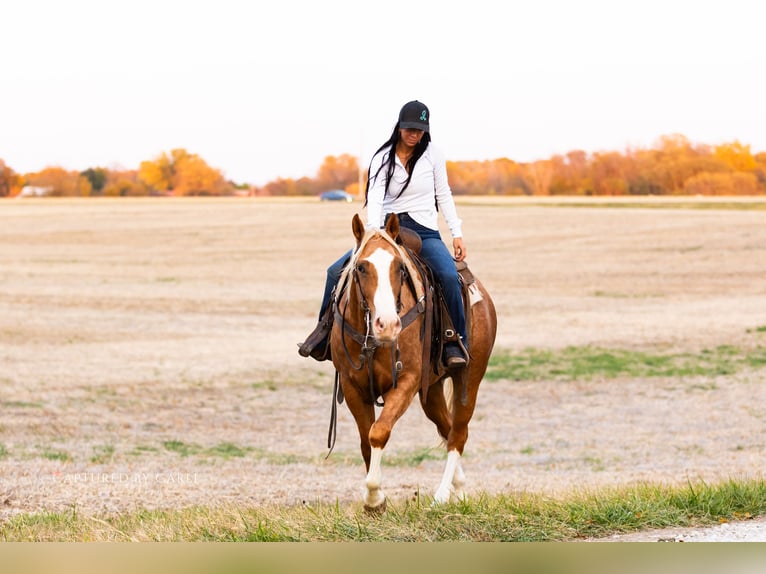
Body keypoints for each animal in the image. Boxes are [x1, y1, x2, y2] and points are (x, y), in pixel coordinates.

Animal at [329, 213, 497, 512]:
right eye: (361, 267)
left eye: (400, 268)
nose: (387, 325)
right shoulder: (352, 387)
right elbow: (365, 440)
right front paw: (376, 500)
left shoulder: (406, 381)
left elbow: (378, 433)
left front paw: (374, 498)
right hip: (432, 389)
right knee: (446, 428)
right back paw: (459, 489)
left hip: (469, 378)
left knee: (458, 434)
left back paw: (441, 497)